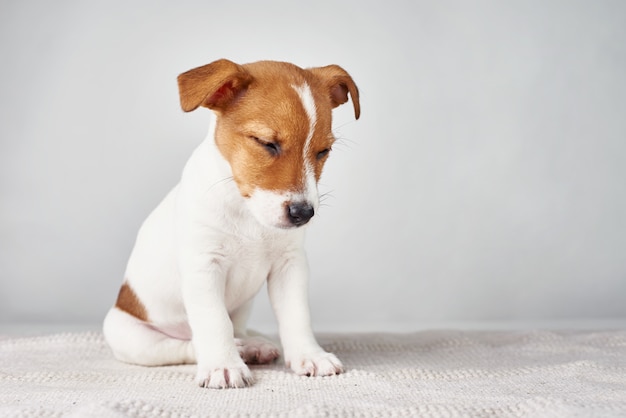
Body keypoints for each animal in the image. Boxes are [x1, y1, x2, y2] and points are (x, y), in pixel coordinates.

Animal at [102, 58, 358, 388]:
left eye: (323, 151)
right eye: (266, 143)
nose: (303, 213)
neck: (247, 211)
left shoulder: (290, 266)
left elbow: (297, 315)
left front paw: (309, 355)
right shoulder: (204, 266)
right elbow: (214, 322)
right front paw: (222, 365)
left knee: (239, 330)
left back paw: (254, 345)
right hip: (129, 335)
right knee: (185, 344)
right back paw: (238, 350)